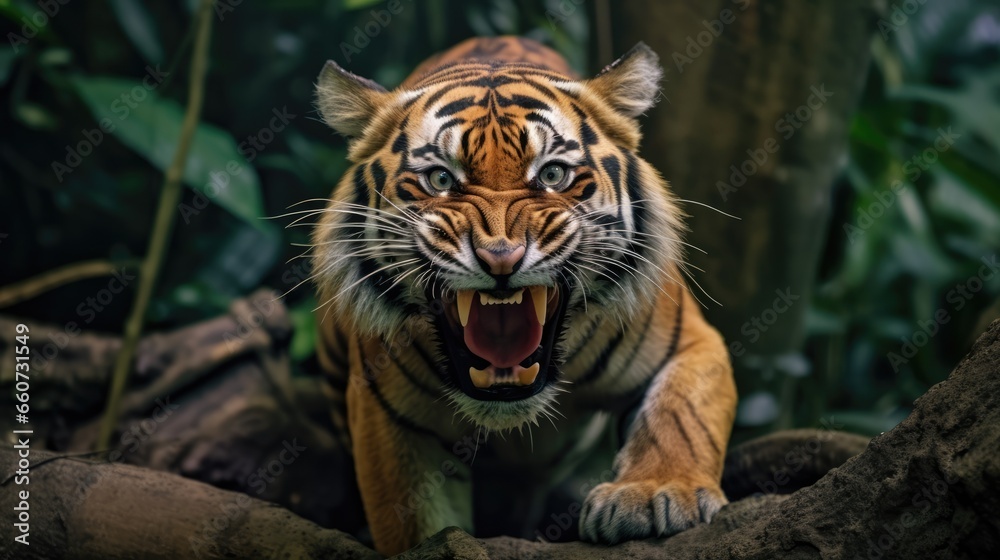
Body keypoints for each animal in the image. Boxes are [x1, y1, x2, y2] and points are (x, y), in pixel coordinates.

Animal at [311, 36, 736, 555]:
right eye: (440, 180)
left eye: (552, 175)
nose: (500, 258)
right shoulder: (386, 412)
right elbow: (415, 519)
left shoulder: (690, 342)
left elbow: (680, 414)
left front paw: (655, 494)